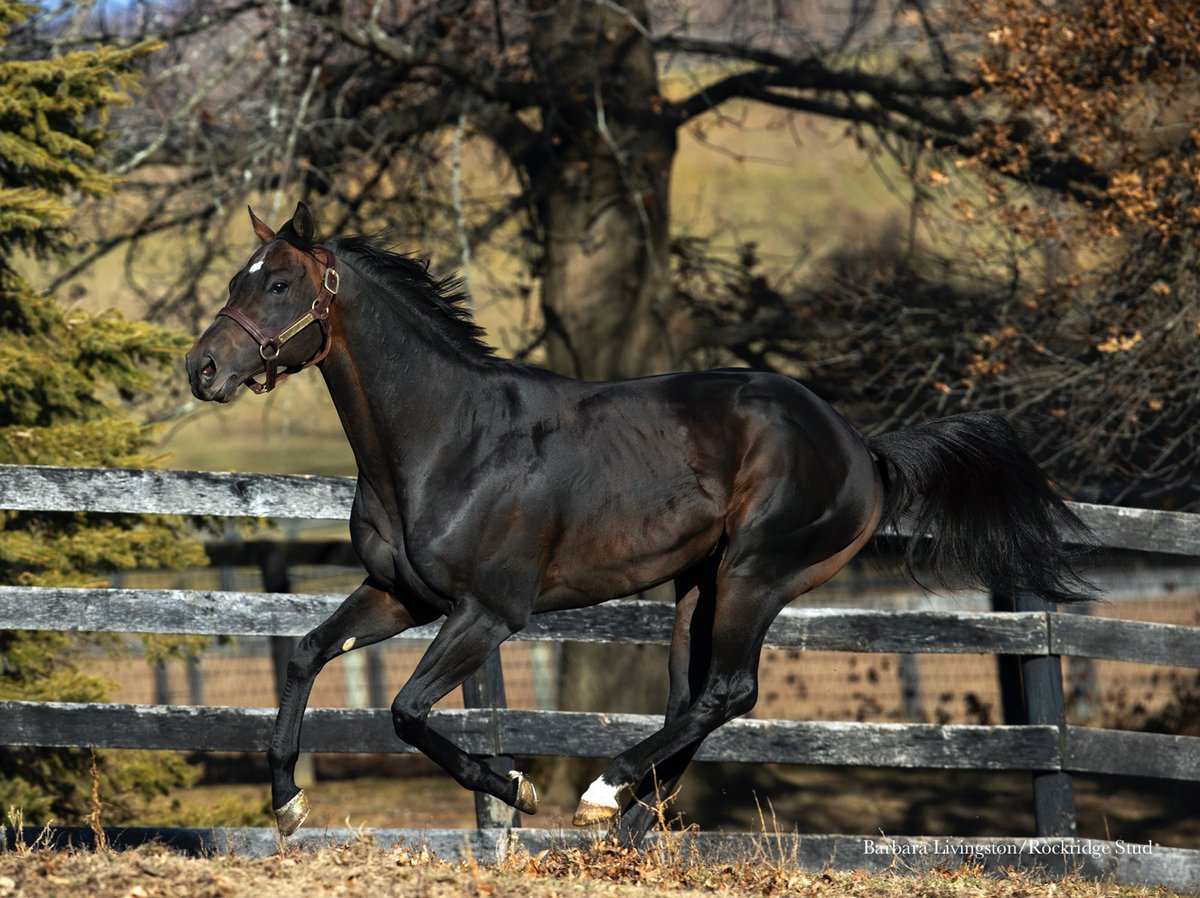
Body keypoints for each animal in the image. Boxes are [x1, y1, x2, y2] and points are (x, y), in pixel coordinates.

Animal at [182, 201, 1094, 840]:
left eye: (278, 283)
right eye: (234, 281)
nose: (203, 368)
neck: (446, 441)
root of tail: (860, 446)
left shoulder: (489, 613)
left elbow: (406, 709)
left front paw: (518, 787)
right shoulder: (400, 594)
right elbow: (305, 653)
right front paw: (288, 805)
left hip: (757, 573)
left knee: (726, 691)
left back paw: (604, 793)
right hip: (698, 586)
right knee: (696, 698)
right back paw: (630, 816)